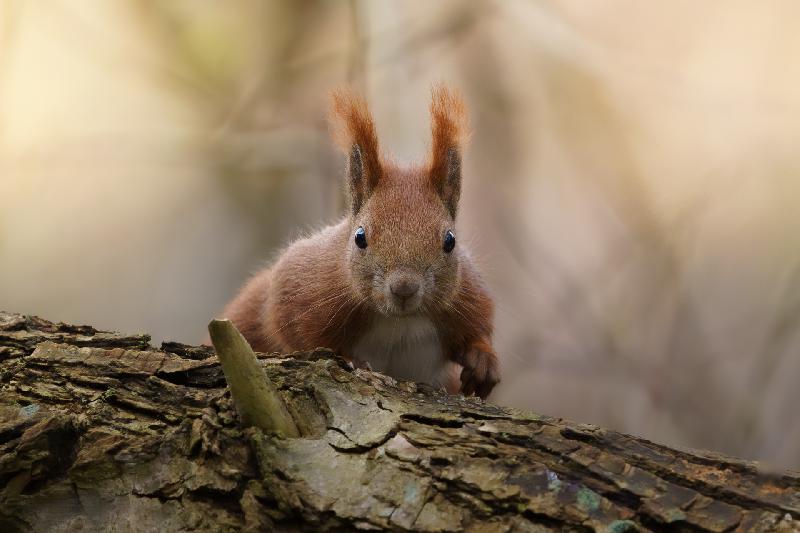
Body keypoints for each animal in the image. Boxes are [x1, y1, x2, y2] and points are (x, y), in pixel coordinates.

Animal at [221, 86, 500, 399]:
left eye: (450, 241)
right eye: (360, 237)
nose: (404, 288)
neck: (398, 319)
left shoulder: (468, 295)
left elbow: (478, 329)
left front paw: (483, 360)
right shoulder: (300, 287)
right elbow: (290, 327)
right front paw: (347, 358)